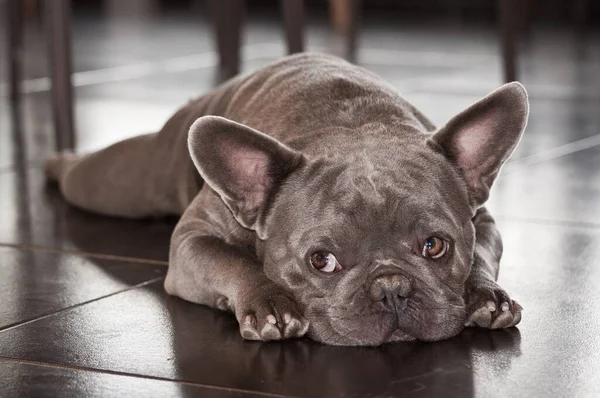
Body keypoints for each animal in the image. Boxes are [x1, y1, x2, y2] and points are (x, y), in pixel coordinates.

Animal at [45, 52, 524, 346]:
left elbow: (482, 254)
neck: (350, 127)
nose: (392, 288)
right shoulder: (190, 243)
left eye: (435, 246)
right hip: (128, 180)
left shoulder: (484, 222)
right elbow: (232, 261)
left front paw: (486, 294)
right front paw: (269, 303)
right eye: (322, 261)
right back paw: (55, 162)